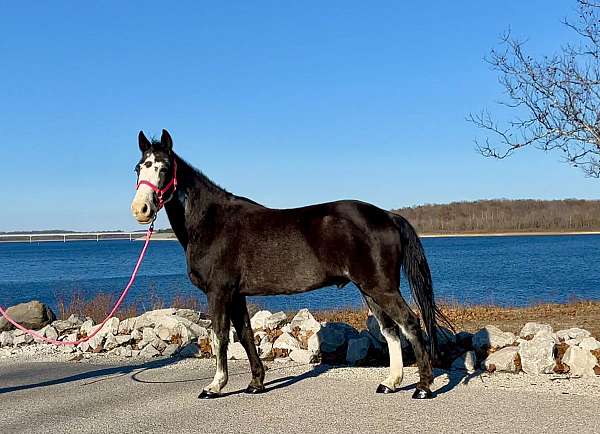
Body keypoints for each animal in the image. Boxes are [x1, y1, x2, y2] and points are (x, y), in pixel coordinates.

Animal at [131, 129, 450, 400]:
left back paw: (423, 387)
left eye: (163, 167)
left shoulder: (218, 292)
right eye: (138, 168)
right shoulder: (236, 294)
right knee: (391, 330)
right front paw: (256, 383)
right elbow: (245, 335)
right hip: (370, 289)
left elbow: (220, 335)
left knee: (410, 323)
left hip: (380, 287)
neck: (211, 222)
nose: (140, 209)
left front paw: (214, 386)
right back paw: (390, 383)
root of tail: (388, 215)